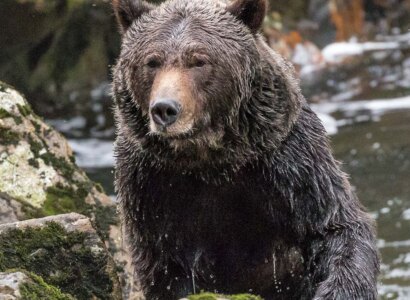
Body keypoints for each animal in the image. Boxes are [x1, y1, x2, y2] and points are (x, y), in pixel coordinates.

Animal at [111, 0, 378, 298]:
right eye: (152, 61)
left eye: (199, 60)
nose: (165, 109)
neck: (209, 160)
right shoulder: (149, 185)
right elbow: (161, 263)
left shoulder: (291, 162)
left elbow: (335, 226)